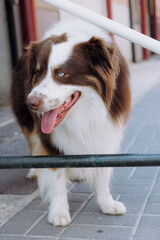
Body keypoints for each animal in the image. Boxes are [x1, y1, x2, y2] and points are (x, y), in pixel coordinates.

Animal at [11, 20, 131, 227]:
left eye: (61, 73)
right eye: (36, 72)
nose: (31, 103)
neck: (83, 113)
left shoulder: (105, 129)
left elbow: (102, 172)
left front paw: (107, 204)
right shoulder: (49, 138)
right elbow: (57, 177)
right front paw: (59, 213)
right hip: (27, 121)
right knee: (33, 142)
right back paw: (34, 169)